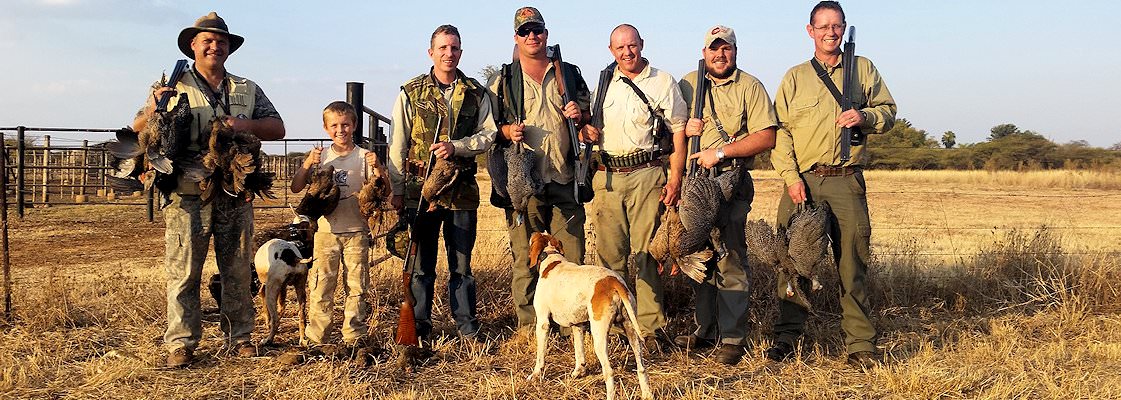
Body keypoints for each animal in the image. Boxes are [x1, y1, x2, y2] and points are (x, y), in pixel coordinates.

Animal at [526, 230, 654, 398]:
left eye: (533, 237)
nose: (530, 234)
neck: (552, 260)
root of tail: (613, 281)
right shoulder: (577, 325)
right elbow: (579, 351)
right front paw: (578, 372)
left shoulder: (543, 323)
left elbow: (540, 356)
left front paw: (535, 374)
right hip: (631, 330)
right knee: (641, 367)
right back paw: (647, 394)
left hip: (599, 335)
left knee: (609, 371)